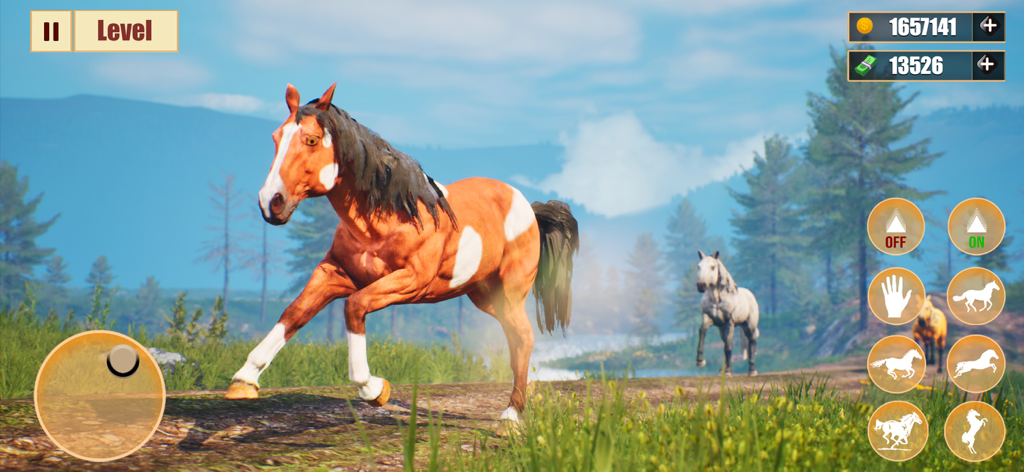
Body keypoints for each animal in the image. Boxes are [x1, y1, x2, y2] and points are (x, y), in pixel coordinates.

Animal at [223, 84, 580, 433]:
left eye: (311, 139)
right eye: (275, 137)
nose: (271, 202)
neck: (385, 219)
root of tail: (529, 210)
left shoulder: (409, 281)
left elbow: (354, 307)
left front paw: (375, 389)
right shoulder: (334, 274)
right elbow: (295, 312)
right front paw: (244, 381)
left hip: (510, 290)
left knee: (524, 336)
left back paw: (511, 415)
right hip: (484, 295)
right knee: (516, 336)